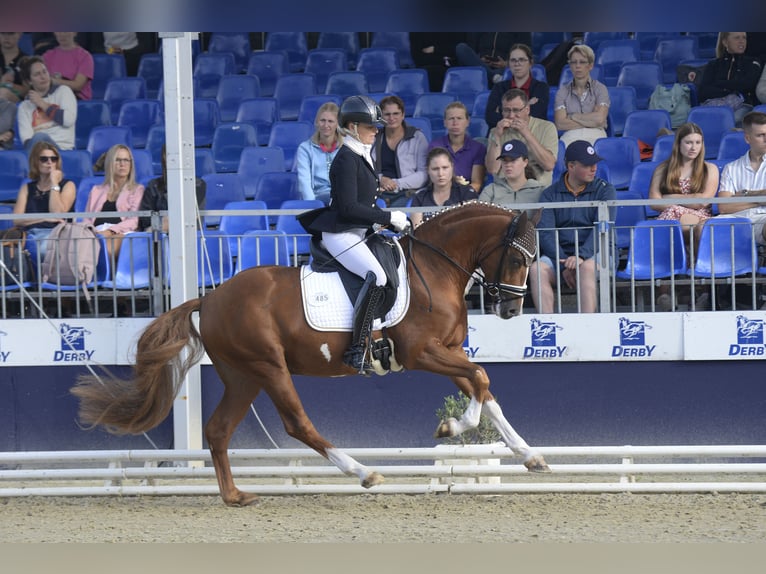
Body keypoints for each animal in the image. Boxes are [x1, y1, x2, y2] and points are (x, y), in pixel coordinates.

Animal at [72, 204, 552, 508]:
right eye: (516, 258)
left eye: (532, 259)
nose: (512, 310)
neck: (435, 268)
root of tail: (208, 299)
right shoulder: (423, 352)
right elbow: (482, 379)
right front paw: (452, 427)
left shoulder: (447, 351)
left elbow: (484, 390)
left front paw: (530, 456)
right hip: (268, 367)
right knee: (296, 423)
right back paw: (363, 473)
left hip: (243, 376)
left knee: (219, 429)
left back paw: (235, 496)